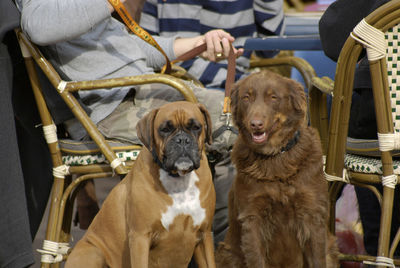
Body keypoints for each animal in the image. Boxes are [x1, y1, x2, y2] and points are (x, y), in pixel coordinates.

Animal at [64, 101, 217, 268]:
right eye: (165, 129)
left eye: (196, 127)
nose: (182, 140)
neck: (179, 178)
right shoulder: (140, 238)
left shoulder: (205, 235)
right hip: (94, 253)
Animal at [216, 70, 338, 268]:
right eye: (246, 97)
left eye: (273, 97)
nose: (255, 124)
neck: (276, 158)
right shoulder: (252, 218)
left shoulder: (312, 214)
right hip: (227, 253)